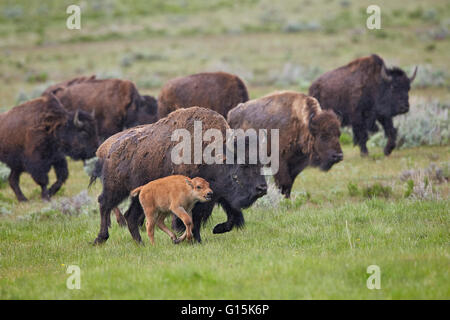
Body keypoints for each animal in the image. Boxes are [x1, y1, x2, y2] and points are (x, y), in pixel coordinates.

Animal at [90, 106, 268, 244]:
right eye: (243, 164)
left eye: (261, 163)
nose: (263, 188)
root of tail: (110, 149)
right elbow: (192, 220)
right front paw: (196, 240)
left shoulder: (219, 195)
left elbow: (232, 216)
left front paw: (217, 229)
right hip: (116, 189)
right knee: (104, 204)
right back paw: (101, 238)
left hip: (140, 195)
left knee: (131, 216)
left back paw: (141, 243)